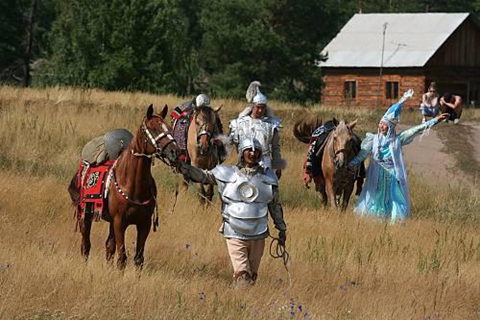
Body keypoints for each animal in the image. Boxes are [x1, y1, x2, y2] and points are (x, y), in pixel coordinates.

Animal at [68, 105, 180, 270]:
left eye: (170, 128)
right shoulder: (120, 222)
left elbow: (138, 259)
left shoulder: (144, 224)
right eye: (153, 129)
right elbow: (122, 258)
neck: (132, 183)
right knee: (86, 246)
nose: (175, 151)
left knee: (109, 246)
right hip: (85, 216)